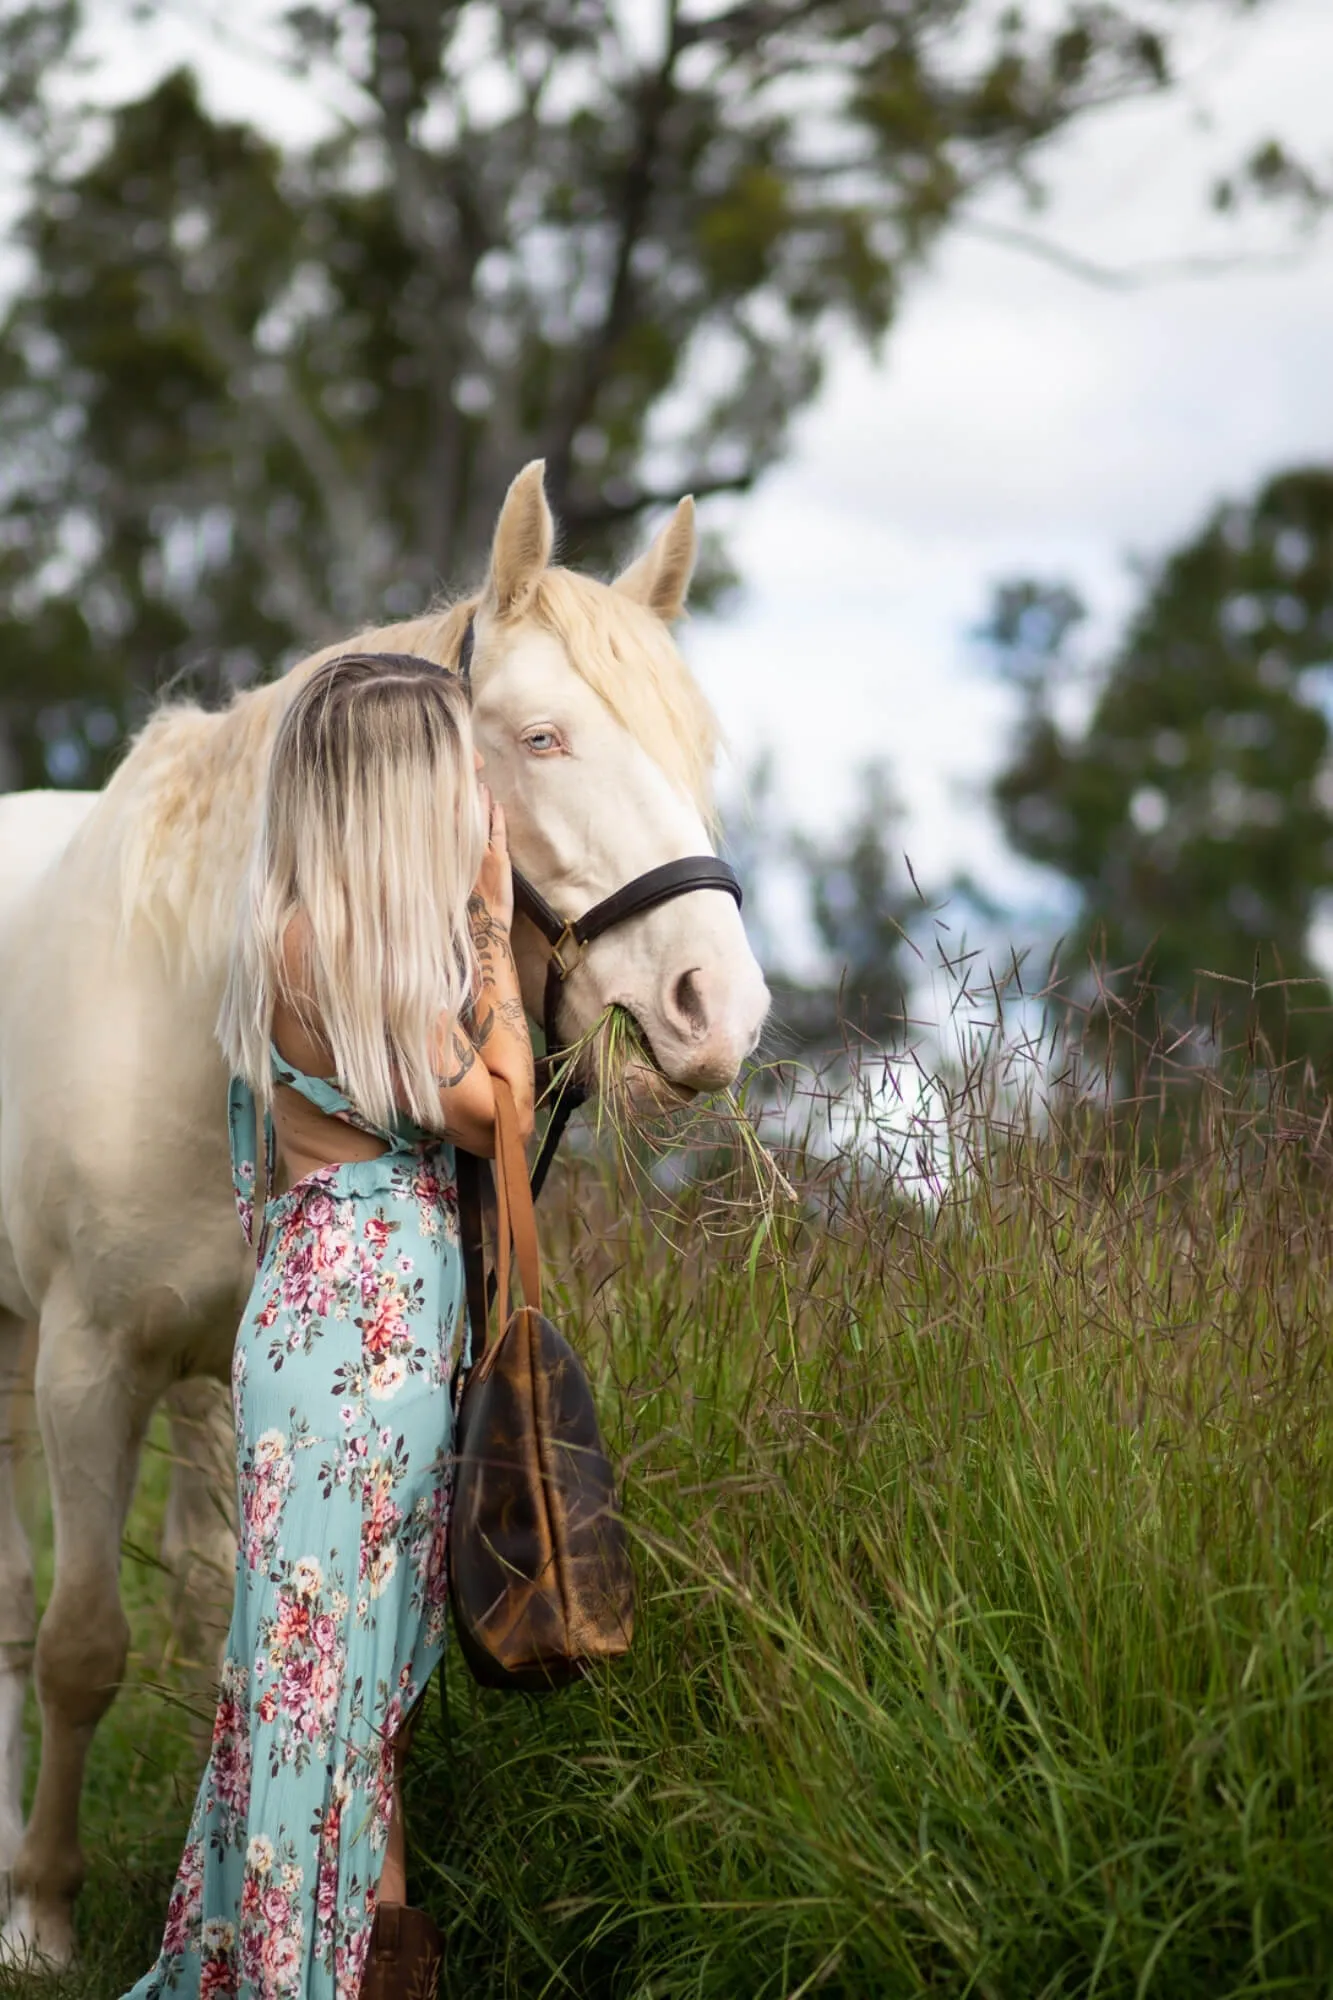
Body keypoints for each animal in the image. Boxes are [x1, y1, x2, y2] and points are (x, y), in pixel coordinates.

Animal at [0, 460, 768, 1960]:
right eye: (541, 737)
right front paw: (42, 1913)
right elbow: (77, 1645)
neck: (187, 1003)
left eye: (697, 749)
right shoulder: (81, 1365)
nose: (720, 1005)